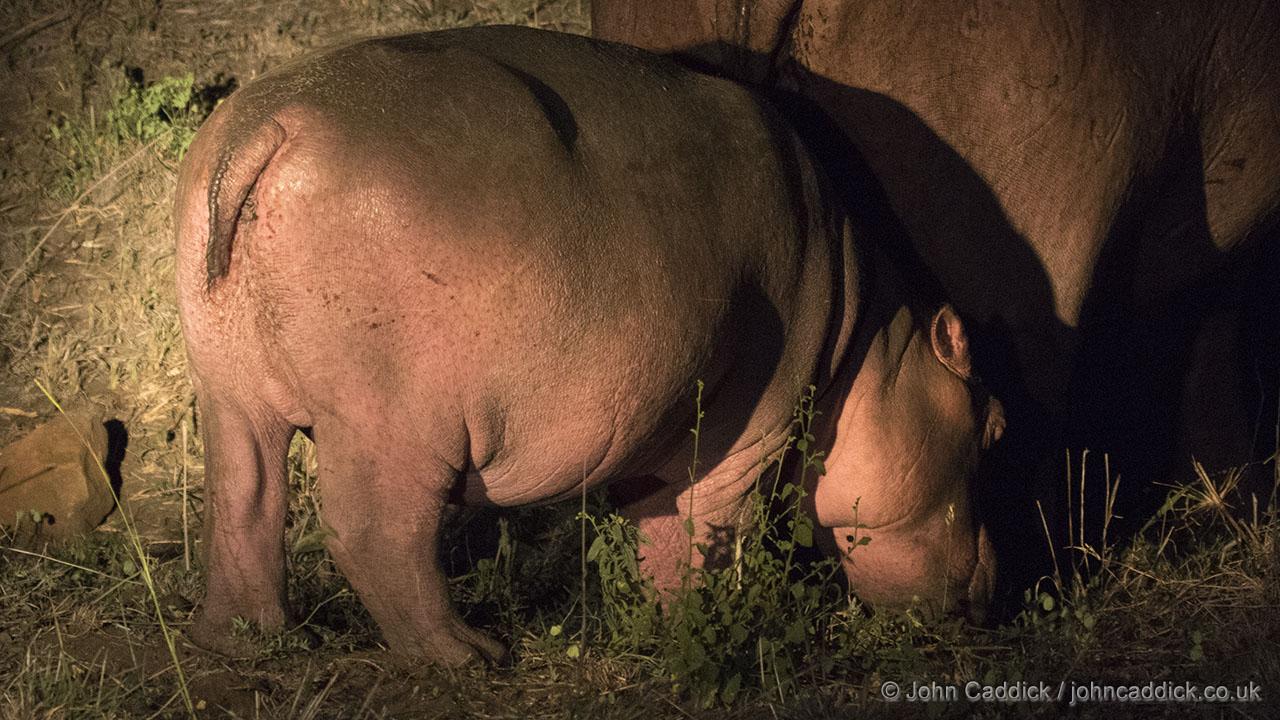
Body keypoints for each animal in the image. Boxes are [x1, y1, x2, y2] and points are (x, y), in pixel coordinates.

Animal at [174, 25, 1005, 665]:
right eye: (996, 427)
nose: (994, 584)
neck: (877, 347)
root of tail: (270, 125)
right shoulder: (754, 432)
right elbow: (710, 536)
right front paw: (713, 631)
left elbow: (659, 533)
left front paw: (656, 626)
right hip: (391, 419)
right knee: (375, 530)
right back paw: (468, 655)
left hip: (229, 388)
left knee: (244, 502)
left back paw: (245, 641)